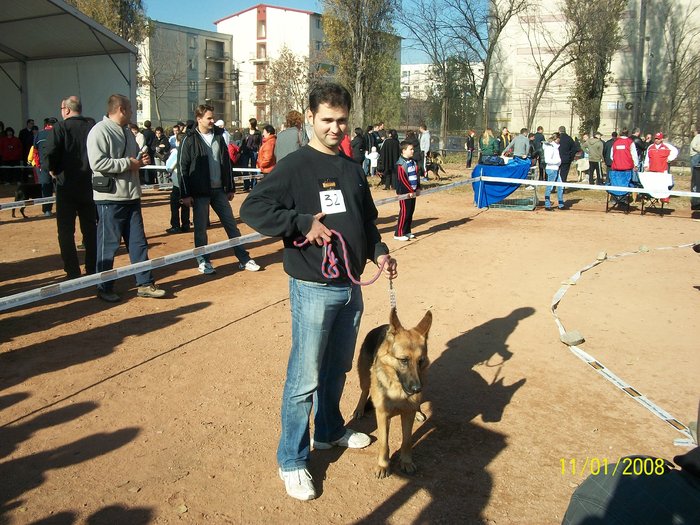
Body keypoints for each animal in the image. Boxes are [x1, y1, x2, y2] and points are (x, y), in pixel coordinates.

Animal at [356, 310, 432, 476]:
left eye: (420, 360)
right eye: (403, 360)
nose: (417, 389)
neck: (398, 389)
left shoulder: (407, 414)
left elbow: (407, 441)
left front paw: (406, 462)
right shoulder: (383, 415)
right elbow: (384, 443)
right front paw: (383, 465)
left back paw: (418, 411)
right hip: (365, 376)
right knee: (364, 391)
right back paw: (359, 409)